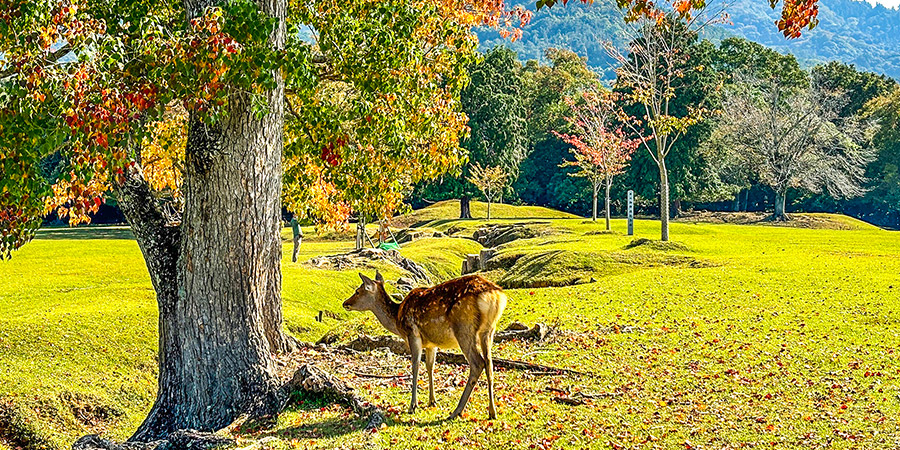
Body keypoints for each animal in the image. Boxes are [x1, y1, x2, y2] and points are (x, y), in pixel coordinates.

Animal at [342, 270, 506, 422]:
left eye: (358, 291)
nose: (345, 303)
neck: (397, 319)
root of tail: (495, 296)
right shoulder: (431, 344)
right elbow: (430, 366)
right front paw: (432, 401)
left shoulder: (412, 334)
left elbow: (415, 366)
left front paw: (412, 405)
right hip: (489, 331)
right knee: (489, 364)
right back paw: (492, 412)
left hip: (464, 329)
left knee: (478, 363)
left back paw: (456, 411)